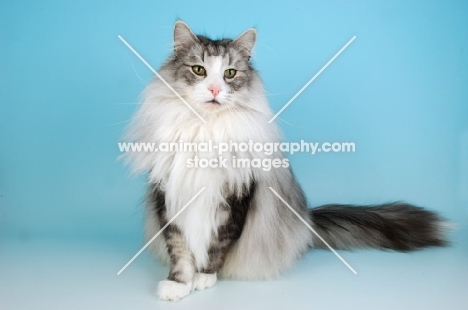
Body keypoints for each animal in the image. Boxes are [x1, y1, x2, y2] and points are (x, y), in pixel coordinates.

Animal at [122, 20, 448, 302]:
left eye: (230, 74)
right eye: (199, 70)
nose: (214, 90)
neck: (207, 130)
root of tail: (307, 219)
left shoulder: (235, 200)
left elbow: (216, 245)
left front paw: (204, 277)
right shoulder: (168, 199)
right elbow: (179, 249)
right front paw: (178, 283)